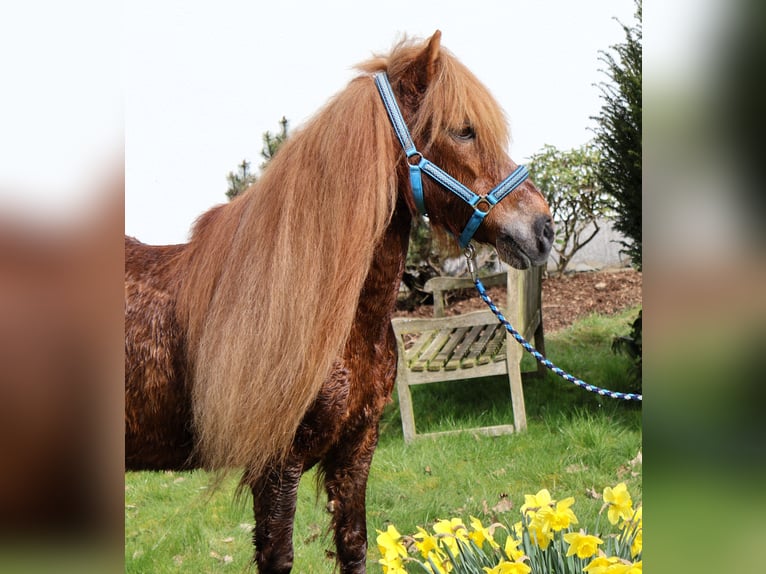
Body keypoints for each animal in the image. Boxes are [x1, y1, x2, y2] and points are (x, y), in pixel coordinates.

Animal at [129, 32, 556, 574]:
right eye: (463, 130)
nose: (543, 228)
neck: (334, 319)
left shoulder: (358, 446)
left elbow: (354, 544)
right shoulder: (277, 464)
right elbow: (279, 556)